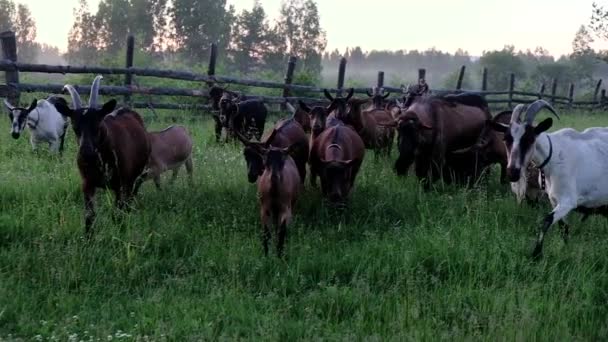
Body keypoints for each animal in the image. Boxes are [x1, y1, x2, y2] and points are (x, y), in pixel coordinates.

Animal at [55, 75, 151, 235]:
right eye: (75, 127)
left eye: (98, 124)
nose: (86, 153)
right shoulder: (87, 183)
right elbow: (89, 216)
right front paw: (89, 238)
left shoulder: (121, 184)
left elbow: (117, 215)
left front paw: (120, 232)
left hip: (134, 178)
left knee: (129, 200)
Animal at [486, 100, 608, 258]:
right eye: (506, 139)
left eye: (530, 139)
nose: (513, 172)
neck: (554, 155)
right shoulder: (554, 200)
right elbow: (563, 229)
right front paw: (564, 250)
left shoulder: (568, 201)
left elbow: (546, 220)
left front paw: (536, 255)